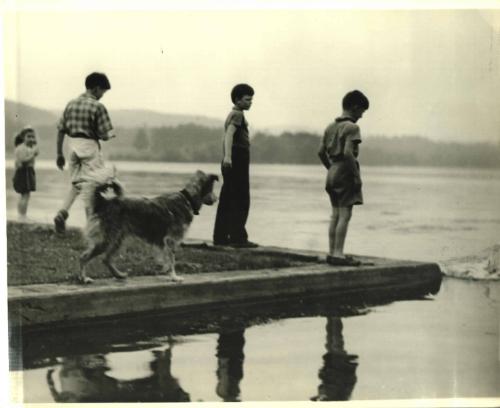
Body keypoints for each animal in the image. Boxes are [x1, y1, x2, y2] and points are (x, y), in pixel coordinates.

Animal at [78, 169, 217, 284]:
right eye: (212, 190)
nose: (216, 199)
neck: (187, 199)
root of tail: (105, 202)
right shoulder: (170, 240)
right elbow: (172, 260)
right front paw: (174, 277)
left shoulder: (162, 242)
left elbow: (166, 259)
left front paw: (166, 271)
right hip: (106, 240)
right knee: (83, 257)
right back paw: (84, 278)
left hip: (118, 239)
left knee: (106, 259)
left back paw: (119, 275)